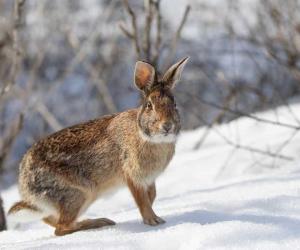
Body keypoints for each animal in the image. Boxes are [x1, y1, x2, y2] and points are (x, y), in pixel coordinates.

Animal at [7, 57, 188, 236]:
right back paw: (99, 222)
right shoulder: (132, 175)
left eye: (174, 104)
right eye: (149, 105)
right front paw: (153, 221)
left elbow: (152, 196)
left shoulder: (149, 179)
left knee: (50, 220)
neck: (150, 138)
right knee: (61, 228)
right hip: (78, 194)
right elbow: (142, 200)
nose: (167, 125)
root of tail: (25, 187)